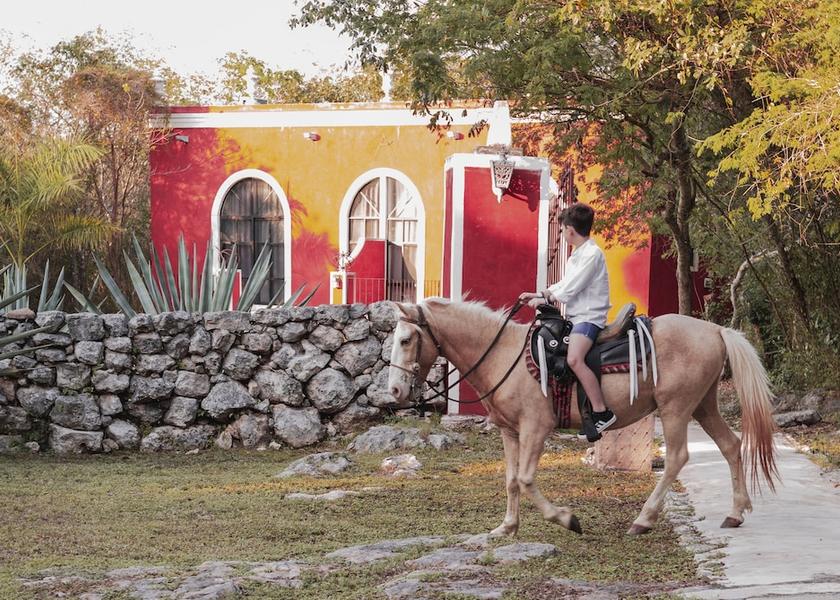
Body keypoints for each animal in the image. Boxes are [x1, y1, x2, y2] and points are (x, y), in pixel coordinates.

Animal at [387, 297, 778, 536]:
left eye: (406, 340)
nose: (394, 392)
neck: (503, 355)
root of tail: (715, 330)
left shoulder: (536, 429)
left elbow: (526, 479)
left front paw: (566, 518)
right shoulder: (510, 432)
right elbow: (511, 480)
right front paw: (507, 528)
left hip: (676, 408)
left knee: (677, 458)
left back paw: (643, 519)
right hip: (703, 405)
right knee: (731, 446)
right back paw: (735, 512)